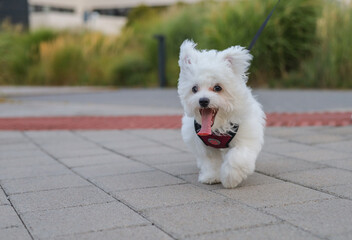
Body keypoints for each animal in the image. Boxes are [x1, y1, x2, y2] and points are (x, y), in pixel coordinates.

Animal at [177, 40, 266, 188]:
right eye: (194, 89)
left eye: (217, 87)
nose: (203, 101)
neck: (217, 127)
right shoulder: (204, 145)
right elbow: (210, 161)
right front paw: (211, 177)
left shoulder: (245, 138)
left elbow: (237, 158)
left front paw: (230, 178)